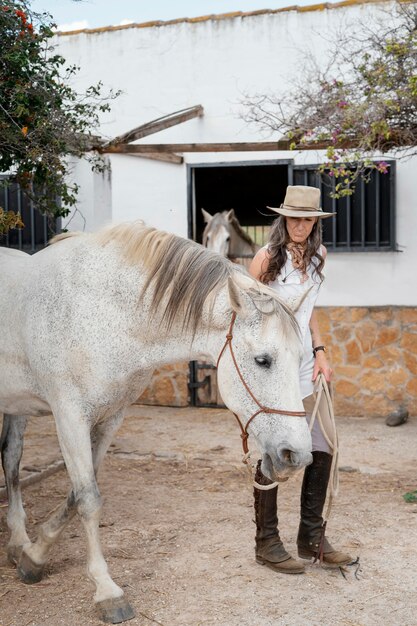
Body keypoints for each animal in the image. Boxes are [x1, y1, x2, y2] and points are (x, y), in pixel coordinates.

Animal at [0, 222, 310, 620]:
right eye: (263, 360)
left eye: (301, 357)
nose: (296, 456)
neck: (102, 310)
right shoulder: (69, 415)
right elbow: (88, 498)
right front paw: (107, 591)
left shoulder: (111, 416)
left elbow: (78, 490)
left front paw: (34, 556)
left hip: (17, 406)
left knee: (11, 460)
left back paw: (17, 543)